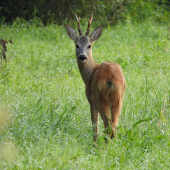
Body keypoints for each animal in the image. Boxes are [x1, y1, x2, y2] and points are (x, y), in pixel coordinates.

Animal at [66, 12, 126, 141]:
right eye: (77, 45)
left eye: (89, 45)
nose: (82, 56)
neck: (90, 74)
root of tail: (110, 78)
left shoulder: (91, 100)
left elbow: (95, 126)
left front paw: (94, 143)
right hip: (119, 98)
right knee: (114, 125)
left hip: (100, 97)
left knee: (108, 126)